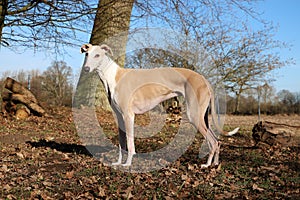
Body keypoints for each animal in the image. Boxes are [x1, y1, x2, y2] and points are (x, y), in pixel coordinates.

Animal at [80, 43, 239, 167]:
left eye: (97, 55)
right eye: (86, 54)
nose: (86, 69)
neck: (114, 77)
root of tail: (203, 79)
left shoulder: (128, 116)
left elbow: (130, 144)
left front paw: (128, 164)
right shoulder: (119, 117)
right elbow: (121, 143)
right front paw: (119, 162)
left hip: (194, 115)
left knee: (212, 141)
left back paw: (207, 164)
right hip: (203, 117)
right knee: (216, 140)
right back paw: (215, 163)